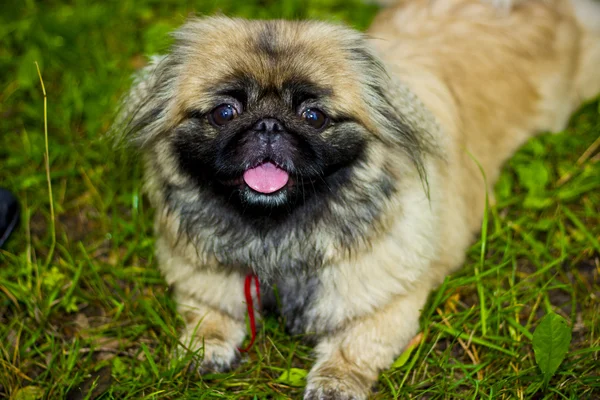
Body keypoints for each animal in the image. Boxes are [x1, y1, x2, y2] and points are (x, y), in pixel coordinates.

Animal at [113, 0, 600, 396]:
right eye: (225, 112)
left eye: (313, 115)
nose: (268, 125)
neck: (277, 233)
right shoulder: (203, 277)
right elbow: (211, 315)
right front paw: (205, 350)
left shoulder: (386, 302)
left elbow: (352, 348)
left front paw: (334, 384)